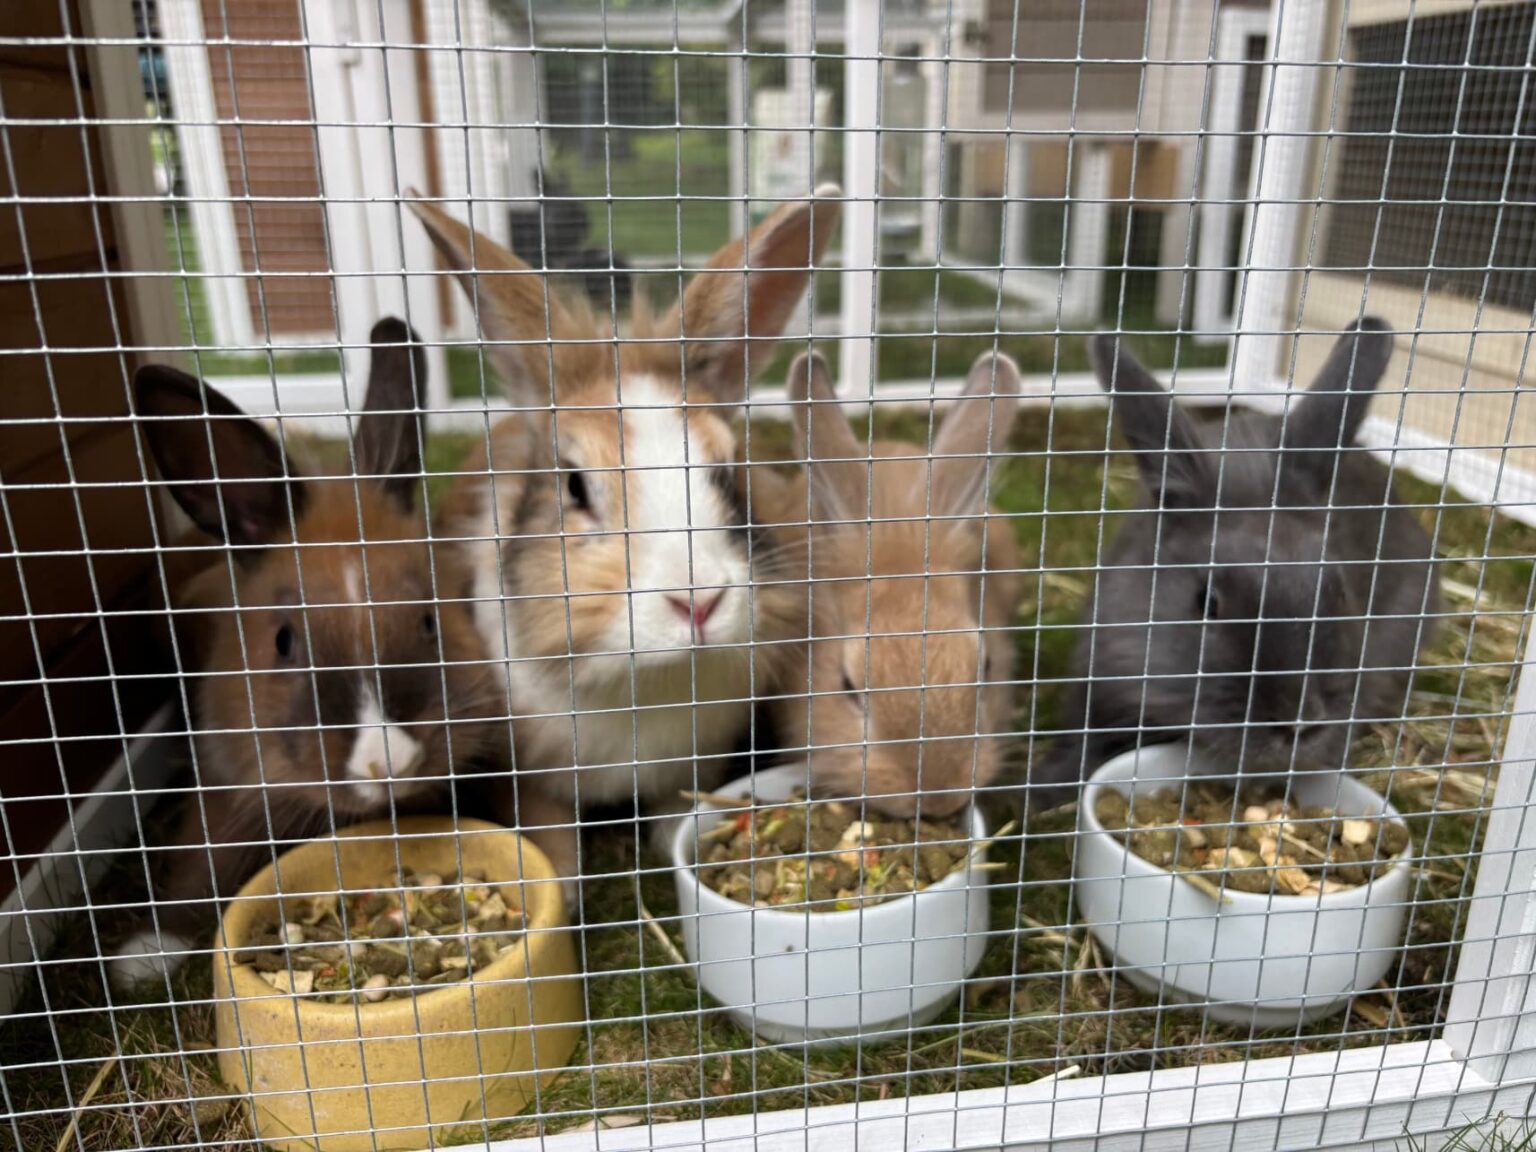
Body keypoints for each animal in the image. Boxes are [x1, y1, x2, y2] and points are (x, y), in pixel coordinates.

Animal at [110, 318, 504, 991]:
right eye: (283, 641)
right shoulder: (228, 788)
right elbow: (197, 863)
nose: (386, 762)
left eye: (431, 618)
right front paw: (142, 955)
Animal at [407, 187, 838, 884]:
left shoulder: (686, 768)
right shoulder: (530, 783)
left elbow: (672, 820)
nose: (698, 603)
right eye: (576, 487)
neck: (639, 682)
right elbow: (554, 850)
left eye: (727, 473)